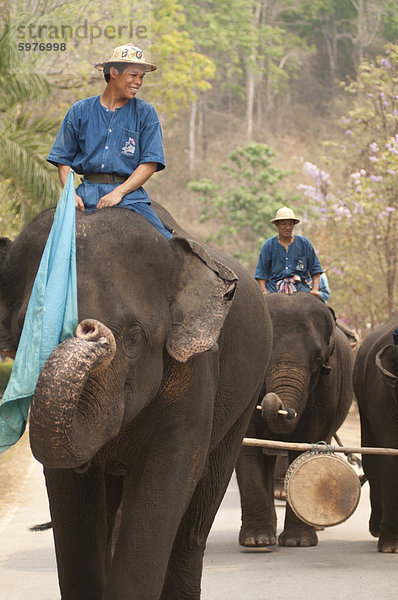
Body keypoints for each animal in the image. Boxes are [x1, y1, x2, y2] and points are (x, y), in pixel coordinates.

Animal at [0, 203, 274, 600]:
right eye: (28, 334)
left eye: (133, 337)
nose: (90, 329)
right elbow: (70, 492)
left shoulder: (194, 371)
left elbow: (164, 480)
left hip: (245, 398)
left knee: (199, 513)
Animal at [235, 290, 352, 548]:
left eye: (318, 358)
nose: (284, 410)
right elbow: (248, 442)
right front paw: (256, 541)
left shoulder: (327, 381)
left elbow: (308, 440)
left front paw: (299, 542)